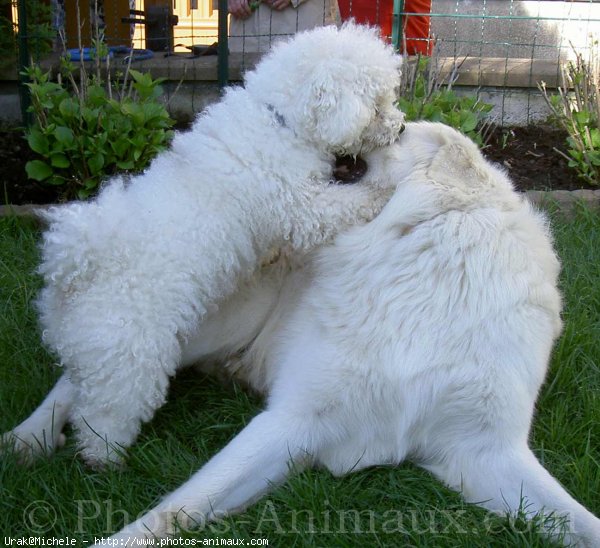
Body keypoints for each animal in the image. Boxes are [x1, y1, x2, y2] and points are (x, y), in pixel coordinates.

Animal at [1, 23, 404, 464]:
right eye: (378, 105)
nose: (401, 127)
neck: (279, 120)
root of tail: (75, 272)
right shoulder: (300, 207)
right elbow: (344, 205)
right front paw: (385, 189)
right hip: (130, 360)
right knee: (103, 418)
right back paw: (106, 460)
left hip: (95, 353)